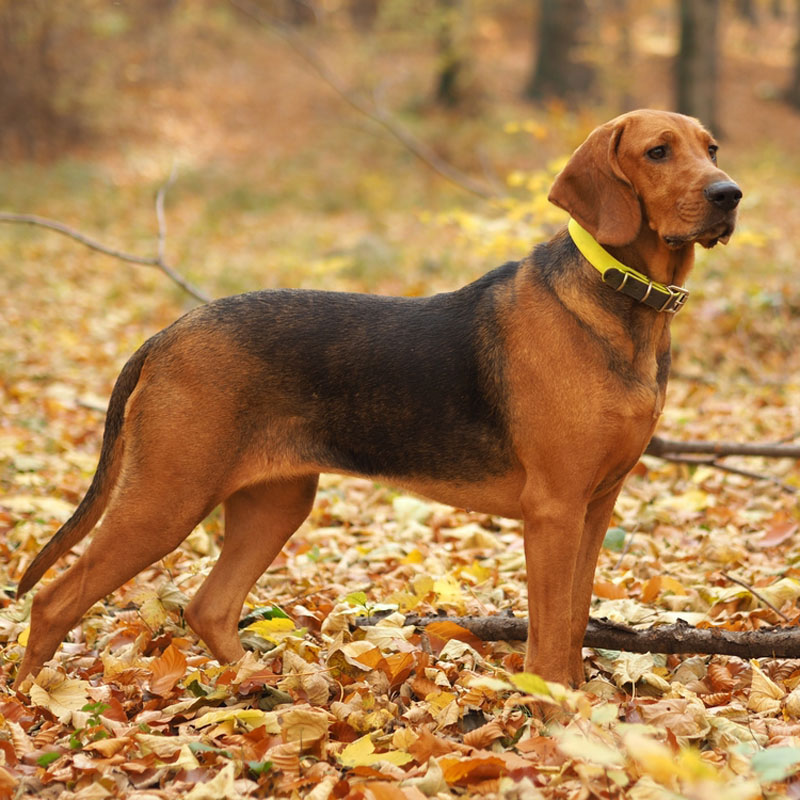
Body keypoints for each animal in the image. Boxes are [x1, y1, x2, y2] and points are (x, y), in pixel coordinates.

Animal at [12, 109, 740, 692]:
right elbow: (549, 634)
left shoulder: (596, 505)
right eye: (657, 151)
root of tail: (166, 334)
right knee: (53, 602)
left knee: (207, 607)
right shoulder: (554, 510)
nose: (729, 195)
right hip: (165, 499)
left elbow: (573, 621)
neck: (623, 304)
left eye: (712, 148)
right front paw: (555, 719)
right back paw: (31, 701)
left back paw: (263, 685)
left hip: (275, 502)